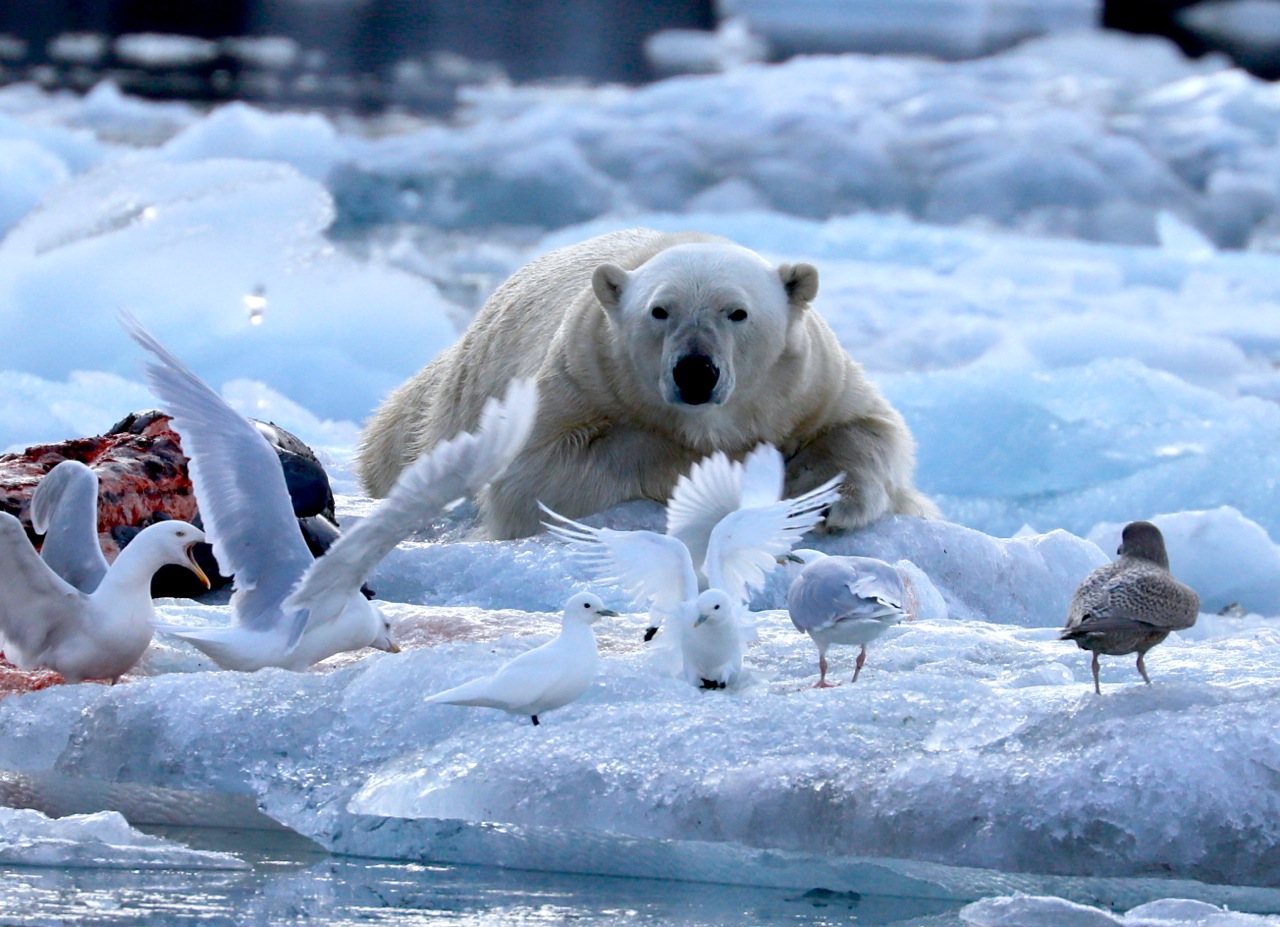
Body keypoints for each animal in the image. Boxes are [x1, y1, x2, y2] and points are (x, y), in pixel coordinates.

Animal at [355, 226, 936, 540]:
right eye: (660, 310)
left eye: (738, 312)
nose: (696, 370)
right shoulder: (581, 376)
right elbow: (534, 474)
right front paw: (731, 470)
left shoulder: (812, 382)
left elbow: (869, 428)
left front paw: (822, 499)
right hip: (446, 400)